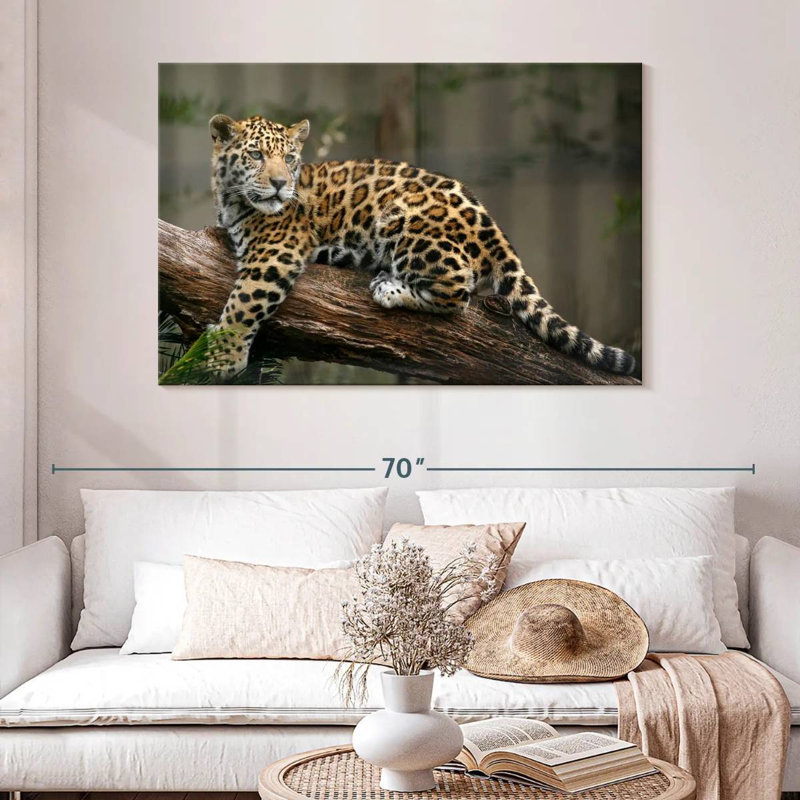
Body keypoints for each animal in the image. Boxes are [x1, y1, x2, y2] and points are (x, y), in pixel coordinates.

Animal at [203, 113, 637, 381]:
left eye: (290, 158)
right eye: (256, 155)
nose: (280, 184)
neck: (231, 199)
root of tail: (493, 225)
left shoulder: (276, 252)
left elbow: (244, 302)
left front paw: (221, 357)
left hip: (405, 222)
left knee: (458, 292)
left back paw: (390, 288)